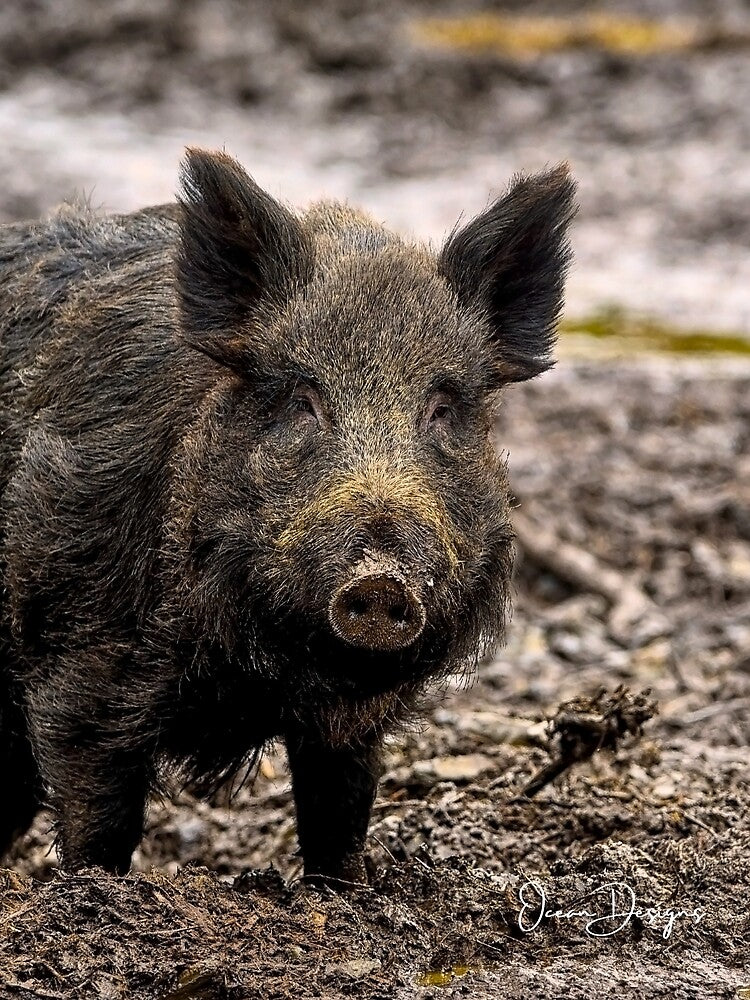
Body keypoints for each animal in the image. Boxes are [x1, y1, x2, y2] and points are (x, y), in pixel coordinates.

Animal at [0, 149, 575, 883]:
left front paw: (343, 890)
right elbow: (96, 808)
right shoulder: (81, 649)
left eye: (443, 408)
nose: (380, 579)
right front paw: (91, 895)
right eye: (303, 400)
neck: (251, 671)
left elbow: (339, 807)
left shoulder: (350, 724)